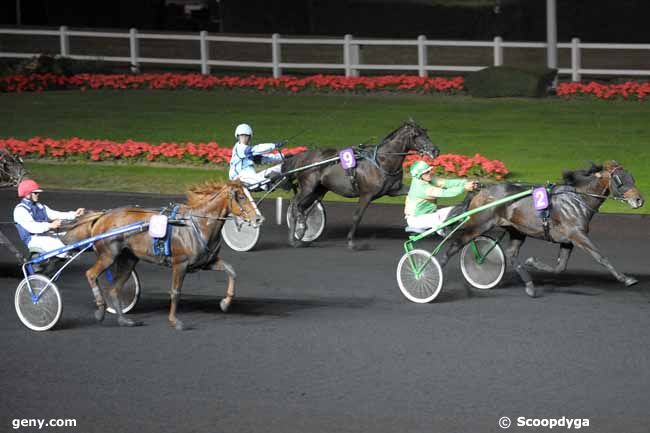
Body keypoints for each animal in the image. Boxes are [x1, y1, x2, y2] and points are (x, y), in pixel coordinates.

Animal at [69, 179, 262, 328]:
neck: (197, 225)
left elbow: (231, 271)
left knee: (115, 289)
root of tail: (103, 216)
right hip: (108, 256)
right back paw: (101, 310)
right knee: (91, 274)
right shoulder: (180, 264)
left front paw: (225, 303)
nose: (258, 218)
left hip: (128, 259)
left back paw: (124, 320)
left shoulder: (207, 262)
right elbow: (175, 292)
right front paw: (174, 321)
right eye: (242, 197)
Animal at [280, 120, 438, 250]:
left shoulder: (395, 190)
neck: (382, 161)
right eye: (416, 135)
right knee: (295, 204)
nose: (435, 150)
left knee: (304, 208)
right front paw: (351, 242)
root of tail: (302, 156)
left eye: (426, 132)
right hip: (308, 187)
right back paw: (295, 236)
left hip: (319, 190)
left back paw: (302, 231)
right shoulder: (366, 194)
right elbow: (357, 216)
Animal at [436, 160, 644, 298]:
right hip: (479, 224)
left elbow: (560, 267)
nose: (639, 200)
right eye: (619, 180)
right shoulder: (577, 235)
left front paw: (533, 262)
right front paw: (626, 279)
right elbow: (600, 256)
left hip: (516, 230)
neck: (578, 199)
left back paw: (529, 285)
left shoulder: (568, 240)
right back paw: (435, 269)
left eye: (632, 177)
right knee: (454, 245)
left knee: (511, 254)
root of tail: (481, 190)